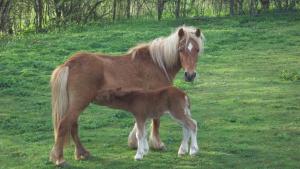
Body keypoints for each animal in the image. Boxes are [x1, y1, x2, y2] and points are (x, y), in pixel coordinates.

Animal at [49, 25, 204, 166]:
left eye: (197, 49)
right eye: (181, 49)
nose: (190, 75)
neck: (157, 64)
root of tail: (68, 64)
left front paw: (137, 144)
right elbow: (155, 122)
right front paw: (156, 145)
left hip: (76, 104)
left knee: (73, 126)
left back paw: (82, 153)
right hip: (79, 103)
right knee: (64, 125)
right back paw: (60, 159)